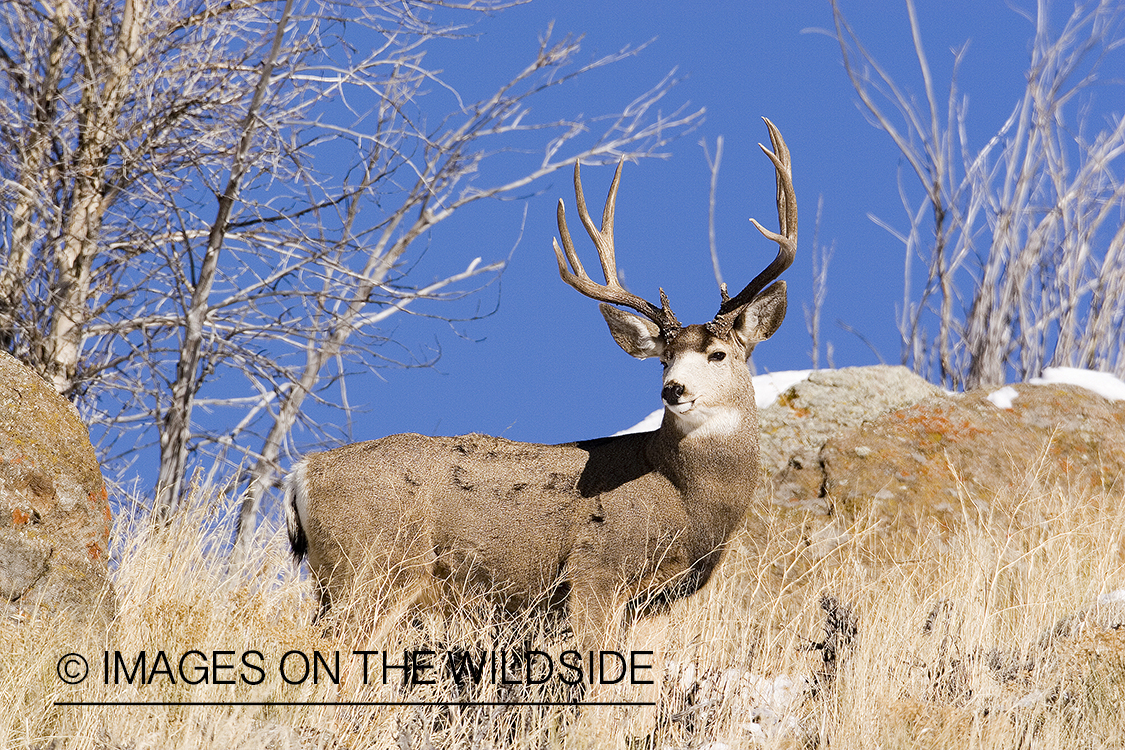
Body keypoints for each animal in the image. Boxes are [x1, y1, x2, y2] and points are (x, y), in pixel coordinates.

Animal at [288, 117, 801, 661]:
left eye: (718, 354)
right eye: (663, 359)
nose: (673, 389)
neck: (682, 497)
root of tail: (303, 471)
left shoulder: (651, 604)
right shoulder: (595, 570)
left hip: (340, 580)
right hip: (372, 569)